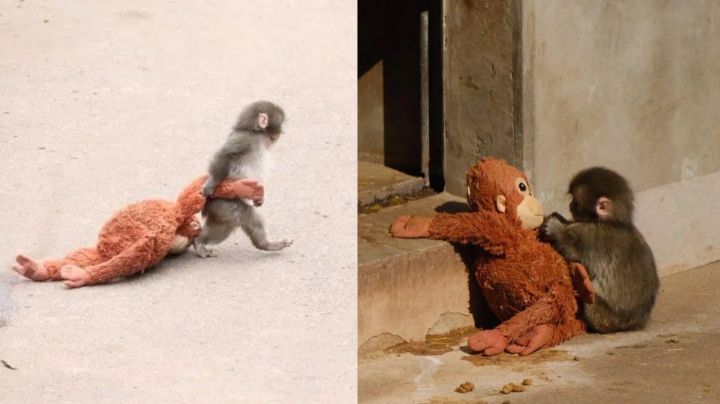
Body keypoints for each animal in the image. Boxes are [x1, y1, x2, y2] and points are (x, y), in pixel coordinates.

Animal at [193, 101, 293, 258]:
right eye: (281, 124)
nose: (282, 132)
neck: (256, 133)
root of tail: (208, 207)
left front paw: (259, 199)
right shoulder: (245, 139)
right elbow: (225, 155)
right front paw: (211, 184)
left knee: (223, 228)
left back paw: (199, 240)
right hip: (223, 203)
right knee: (247, 215)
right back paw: (266, 245)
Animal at [540, 167, 659, 333]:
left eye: (575, 201)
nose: (570, 205)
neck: (612, 222)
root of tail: (634, 324)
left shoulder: (589, 235)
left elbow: (572, 250)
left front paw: (555, 227)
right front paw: (559, 218)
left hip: (604, 317)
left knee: (590, 301)